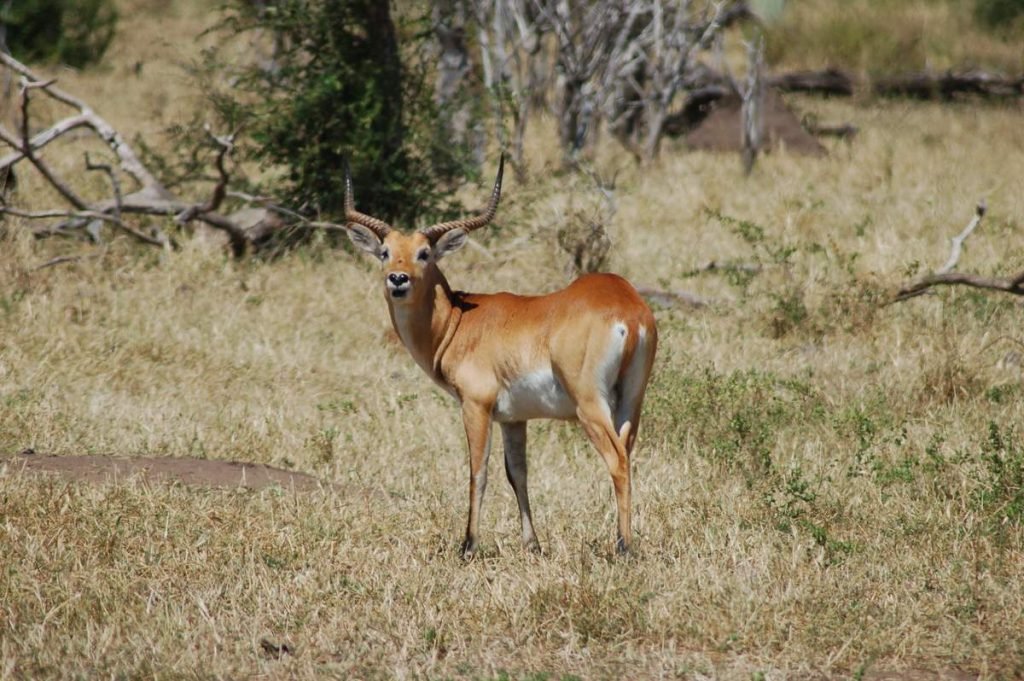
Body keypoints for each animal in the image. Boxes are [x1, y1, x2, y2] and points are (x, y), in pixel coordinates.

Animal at [344, 156, 655, 557]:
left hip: (589, 405)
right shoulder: (513, 418)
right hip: (632, 400)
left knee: (616, 461)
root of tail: (627, 309)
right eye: (385, 252)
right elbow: (517, 473)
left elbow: (478, 471)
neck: (459, 321)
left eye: (424, 253)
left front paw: (468, 545)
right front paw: (532, 544)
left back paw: (623, 549)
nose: (398, 279)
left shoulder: (476, 405)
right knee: (628, 456)